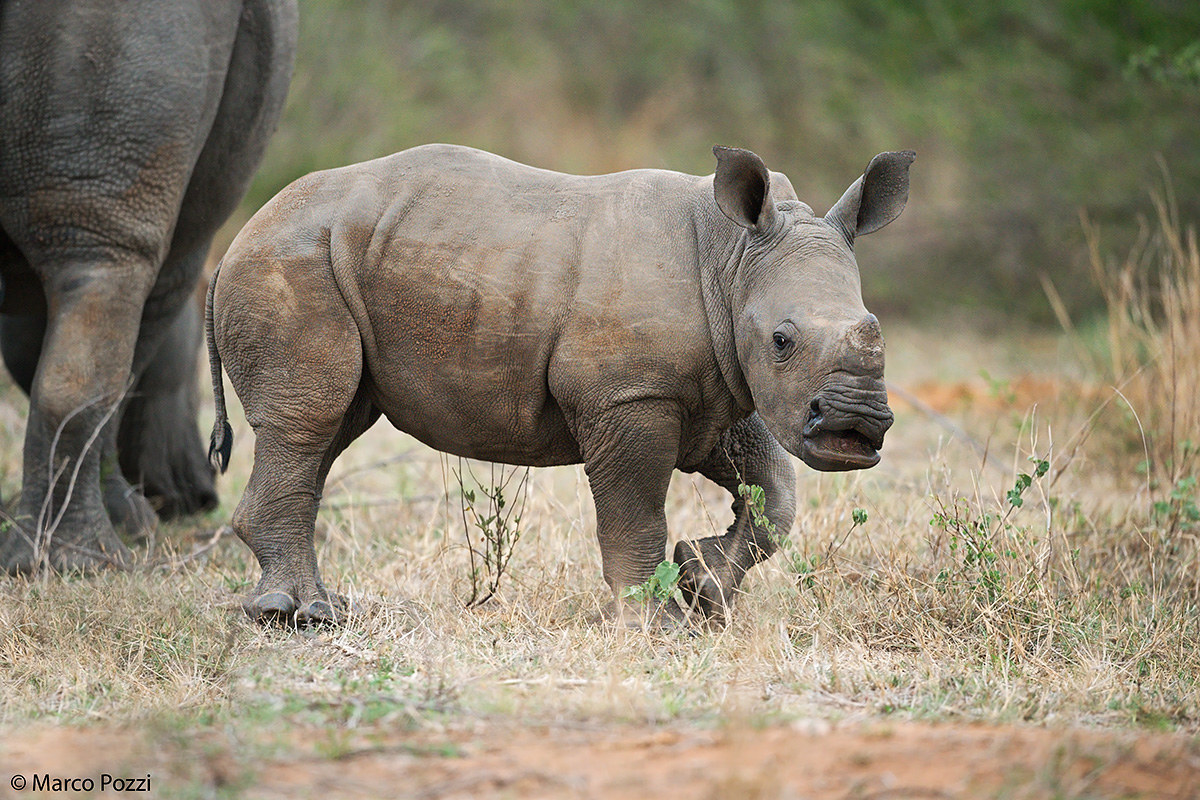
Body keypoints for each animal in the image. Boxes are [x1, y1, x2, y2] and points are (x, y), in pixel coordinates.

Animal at [206, 143, 913, 626]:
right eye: (783, 340)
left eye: (875, 327)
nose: (854, 428)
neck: (733, 257)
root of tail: (239, 236)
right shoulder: (632, 394)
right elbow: (634, 513)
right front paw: (653, 625)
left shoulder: (717, 390)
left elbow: (773, 490)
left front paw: (702, 585)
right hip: (289, 260)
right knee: (310, 420)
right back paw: (296, 616)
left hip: (336, 258)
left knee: (330, 428)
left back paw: (314, 607)